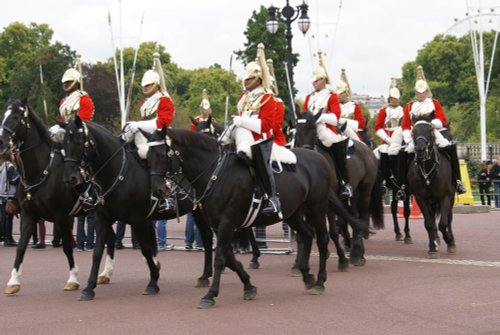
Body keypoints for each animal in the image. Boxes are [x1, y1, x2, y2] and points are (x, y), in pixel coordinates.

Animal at [0, 99, 90, 294]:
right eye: (4, 114)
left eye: (16, 117)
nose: (1, 142)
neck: (41, 171)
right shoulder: (28, 214)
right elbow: (21, 246)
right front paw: (13, 281)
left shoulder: (62, 216)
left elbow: (67, 247)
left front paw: (73, 279)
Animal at [60, 119, 213, 302]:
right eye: (63, 144)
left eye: (77, 142)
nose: (70, 178)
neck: (117, 172)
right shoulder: (102, 218)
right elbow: (97, 253)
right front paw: (89, 288)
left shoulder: (137, 219)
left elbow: (146, 250)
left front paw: (153, 281)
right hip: (197, 211)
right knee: (207, 236)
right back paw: (205, 276)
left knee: (208, 236)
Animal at [145, 128, 368, 310]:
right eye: (146, 156)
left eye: (162, 154)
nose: (157, 191)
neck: (216, 174)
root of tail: (319, 159)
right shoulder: (220, 225)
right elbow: (229, 257)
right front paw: (248, 285)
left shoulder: (227, 223)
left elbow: (220, 258)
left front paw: (210, 295)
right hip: (293, 213)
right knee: (306, 234)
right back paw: (307, 275)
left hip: (317, 208)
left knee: (322, 239)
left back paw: (321, 280)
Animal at [292, 111, 382, 266]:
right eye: (296, 131)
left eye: (314, 130)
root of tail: (366, 148)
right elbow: (303, 233)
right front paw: (298, 263)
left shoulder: (328, 203)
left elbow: (333, 231)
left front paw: (342, 259)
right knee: (355, 217)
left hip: (365, 190)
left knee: (362, 217)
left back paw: (356, 253)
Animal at [408, 121, 456, 260]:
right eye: (414, 131)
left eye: (430, 130)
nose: (420, 149)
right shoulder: (421, 199)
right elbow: (428, 223)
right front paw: (433, 247)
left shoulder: (445, 197)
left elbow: (443, 224)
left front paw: (449, 240)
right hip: (432, 202)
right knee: (433, 220)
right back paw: (436, 240)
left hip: (450, 198)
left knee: (448, 219)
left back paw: (451, 242)